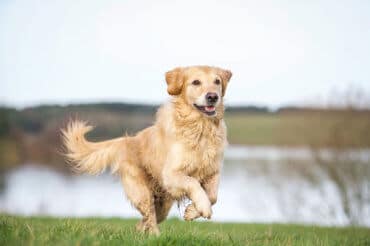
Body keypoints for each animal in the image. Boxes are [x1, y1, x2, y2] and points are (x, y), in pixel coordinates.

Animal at [62, 65, 233, 234]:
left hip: (163, 204)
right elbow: (193, 183)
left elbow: (213, 196)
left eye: (217, 81)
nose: (213, 97)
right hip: (142, 192)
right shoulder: (171, 174)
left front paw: (192, 211)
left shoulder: (212, 171)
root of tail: (128, 140)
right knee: (149, 217)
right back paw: (156, 236)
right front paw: (203, 207)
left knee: (146, 220)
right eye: (196, 82)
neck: (201, 128)